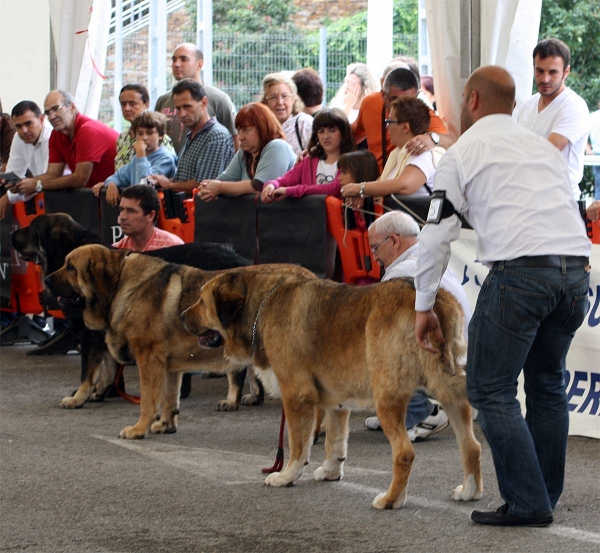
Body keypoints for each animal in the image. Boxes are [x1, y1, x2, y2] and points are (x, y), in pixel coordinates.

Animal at [183, 268, 482, 508]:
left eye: (202, 300)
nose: (183, 314)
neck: (260, 307)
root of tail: (433, 302)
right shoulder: (337, 402)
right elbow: (335, 442)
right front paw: (330, 472)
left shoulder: (296, 396)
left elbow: (297, 444)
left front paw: (287, 475)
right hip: (448, 393)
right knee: (472, 446)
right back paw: (469, 491)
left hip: (387, 397)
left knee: (405, 453)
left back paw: (391, 500)